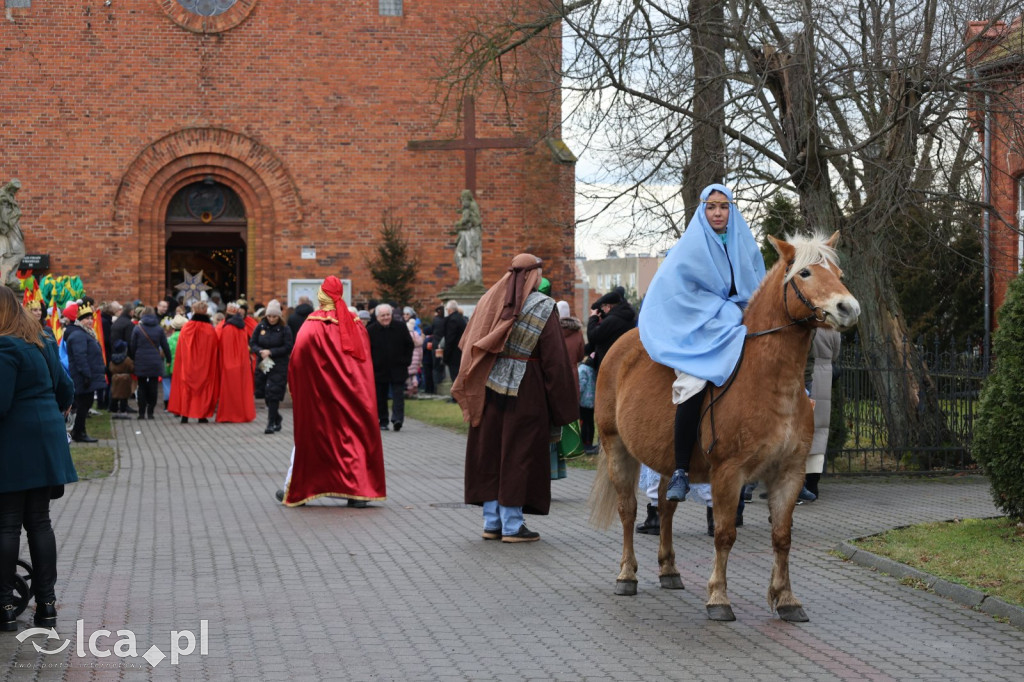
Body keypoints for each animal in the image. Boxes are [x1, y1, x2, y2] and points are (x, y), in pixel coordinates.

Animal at [589, 232, 860, 622]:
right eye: (806, 272)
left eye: (838, 273)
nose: (848, 308)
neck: (770, 381)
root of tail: (621, 346)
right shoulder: (729, 474)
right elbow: (724, 534)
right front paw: (718, 597)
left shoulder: (789, 473)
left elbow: (782, 536)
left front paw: (786, 599)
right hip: (617, 448)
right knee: (628, 511)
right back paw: (627, 575)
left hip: (667, 459)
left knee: (666, 507)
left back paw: (669, 570)